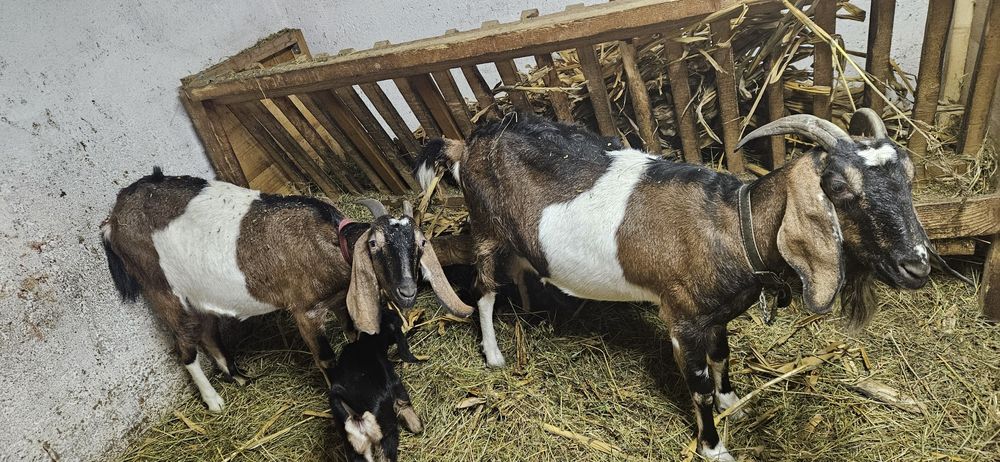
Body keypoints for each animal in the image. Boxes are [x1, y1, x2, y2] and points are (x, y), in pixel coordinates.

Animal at [100, 169, 473, 412]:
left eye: (420, 244)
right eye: (374, 245)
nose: (407, 290)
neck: (327, 244)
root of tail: (112, 219)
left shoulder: (339, 301)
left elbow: (354, 336)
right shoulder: (305, 311)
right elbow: (325, 357)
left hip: (199, 294)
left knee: (207, 332)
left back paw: (238, 378)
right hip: (161, 289)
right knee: (184, 349)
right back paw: (214, 401)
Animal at [329, 305, 423, 462]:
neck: (369, 344)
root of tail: (355, 416)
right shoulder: (393, 380)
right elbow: (403, 401)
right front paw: (417, 426)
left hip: (356, 450)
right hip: (386, 434)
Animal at [416, 111, 934, 460]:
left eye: (909, 178)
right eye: (840, 188)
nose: (918, 266)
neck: (732, 227)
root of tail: (466, 145)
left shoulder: (716, 316)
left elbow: (723, 357)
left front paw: (734, 402)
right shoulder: (682, 321)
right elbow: (698, 386)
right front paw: (715, 447)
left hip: (519, 239)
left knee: (523, 268)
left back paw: (532, 313)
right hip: (486, 228)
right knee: (483, 290)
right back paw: (494, 354)